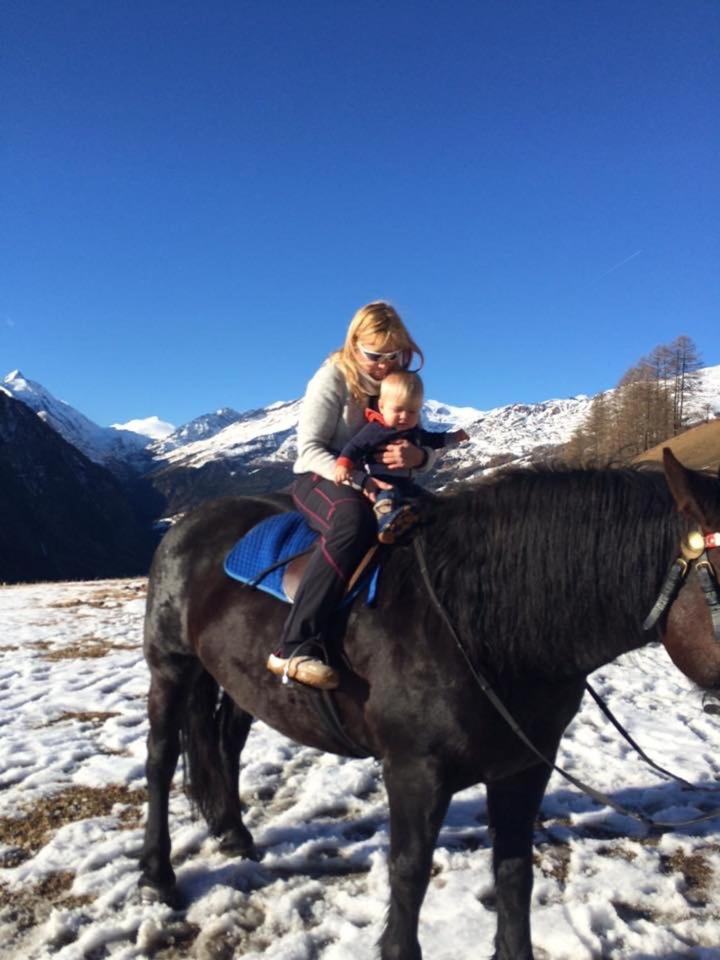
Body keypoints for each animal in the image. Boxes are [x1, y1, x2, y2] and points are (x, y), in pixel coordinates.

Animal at [138, 449, 720, 960]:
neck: (484, 626)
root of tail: (190, 524)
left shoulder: (525, 768)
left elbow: (514, 872)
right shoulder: (415, 772)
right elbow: (410, 873)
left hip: (243, 679)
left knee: (226, 744)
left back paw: (234, 832)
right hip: (171, 667)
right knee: (161, 760)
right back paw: (156, 876)